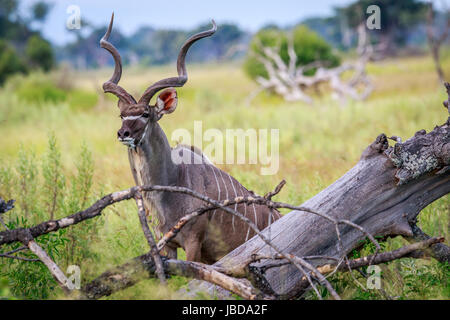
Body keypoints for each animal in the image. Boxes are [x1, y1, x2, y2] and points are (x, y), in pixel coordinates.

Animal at [100, 13, 280, 262]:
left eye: (145, 114)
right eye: (122, 115)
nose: (123, 133)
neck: (173, 179)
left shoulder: (193, 241)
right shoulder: (167, 244)